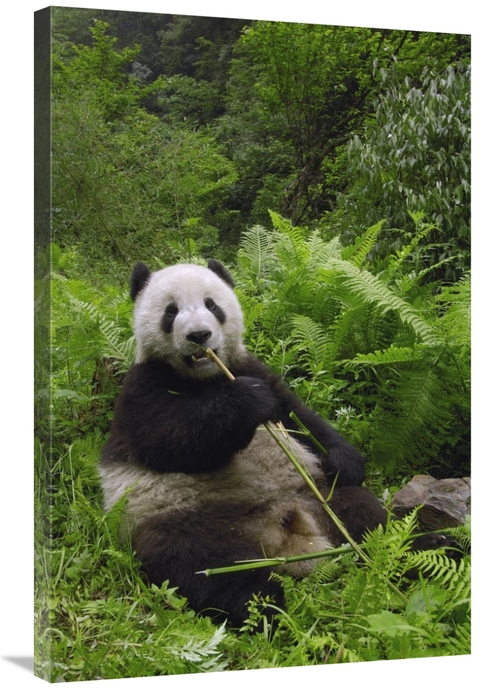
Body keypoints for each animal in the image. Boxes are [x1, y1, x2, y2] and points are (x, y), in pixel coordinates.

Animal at [99, 259, 388, 626]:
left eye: (211, 305)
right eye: (170, 311)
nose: (199, 336)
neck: (206, 376)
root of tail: (284, 530)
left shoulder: (250, 366)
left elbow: (300, 419)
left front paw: (344, 460)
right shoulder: (141, 390)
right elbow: (170, 440)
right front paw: (248, 401)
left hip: (318, 495)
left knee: (364, 514)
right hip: (179, 519)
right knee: (206, 565)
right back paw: (267, 607)